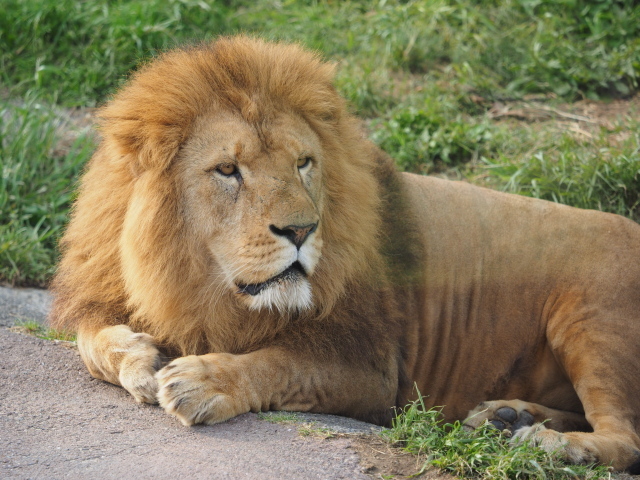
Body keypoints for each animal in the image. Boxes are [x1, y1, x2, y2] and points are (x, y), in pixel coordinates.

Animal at [50, 37, 640, 472]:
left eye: (303, 163)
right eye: (228, 170)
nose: (301, 230)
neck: (193, 280)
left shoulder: (371, 369)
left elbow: (278, 363)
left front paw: (204, 381)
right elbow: (88, 341)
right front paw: (139, 360)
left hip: (592, 319)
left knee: (627, 437)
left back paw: (554, 445)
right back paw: (508, 418)